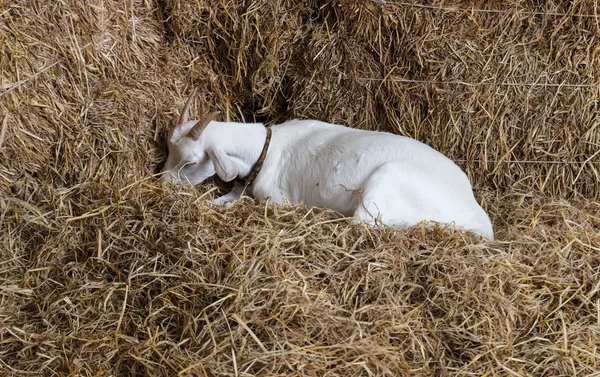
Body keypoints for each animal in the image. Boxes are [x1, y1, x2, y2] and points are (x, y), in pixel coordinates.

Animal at [162, 91, 494, 239]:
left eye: (191, 161)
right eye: (168, 148)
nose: (162, 183)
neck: (267, 149)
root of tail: (478, 218)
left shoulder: (276, 200)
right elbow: (221, 200)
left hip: (385, 184)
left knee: (360, 223)